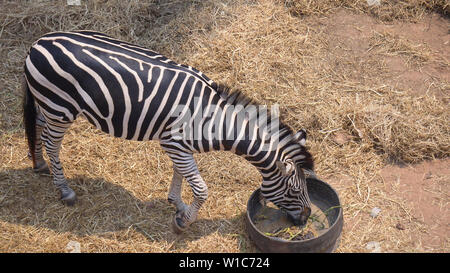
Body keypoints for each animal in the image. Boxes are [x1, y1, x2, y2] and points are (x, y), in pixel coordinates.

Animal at [22, 31, 314, 232]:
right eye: (294, 191)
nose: (307, 217)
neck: (216, 120)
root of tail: (38, 42)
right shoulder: (175, 144)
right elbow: (201, 189)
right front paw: (184, 221)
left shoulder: (180, 148)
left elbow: (181, 176)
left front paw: (177, 204)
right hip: (61, 107)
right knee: (51, 142)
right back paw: (64, 190)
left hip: (50, 105)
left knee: (38, 124)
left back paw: (39, 164)